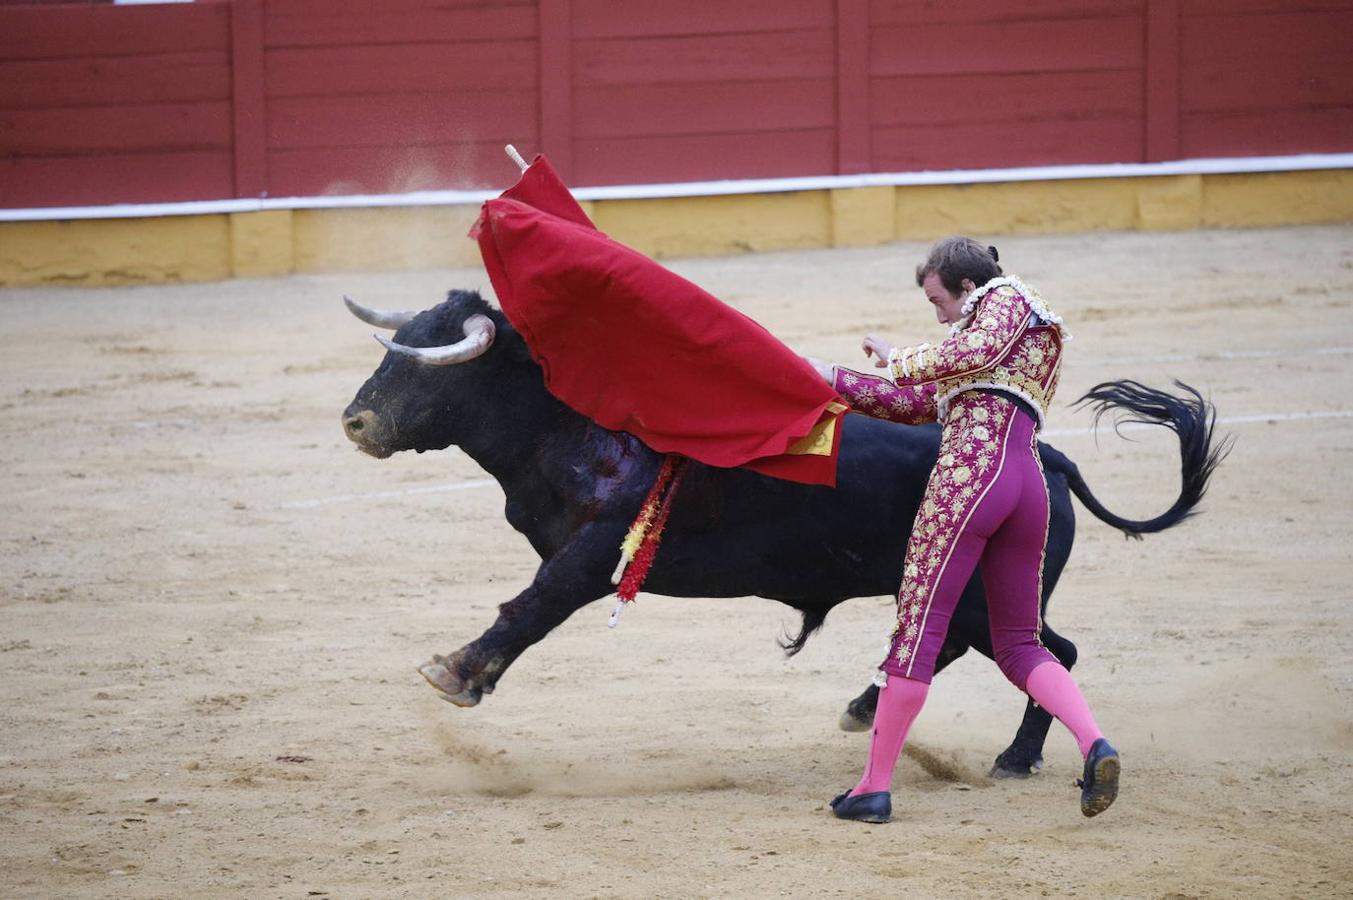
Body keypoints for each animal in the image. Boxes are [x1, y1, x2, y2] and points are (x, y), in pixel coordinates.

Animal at [340, 290, 1228, 774]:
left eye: (424, 362)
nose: (355, 421)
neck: (570, 422)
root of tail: (1045, 454)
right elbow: (532, 598)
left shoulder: (598, 551)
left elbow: (532, 603)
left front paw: (454, 673)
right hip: (970, 588)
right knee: (975, 645)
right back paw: (872, 711)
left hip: (986, 589)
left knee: (1038, 652)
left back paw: (1009, 757)